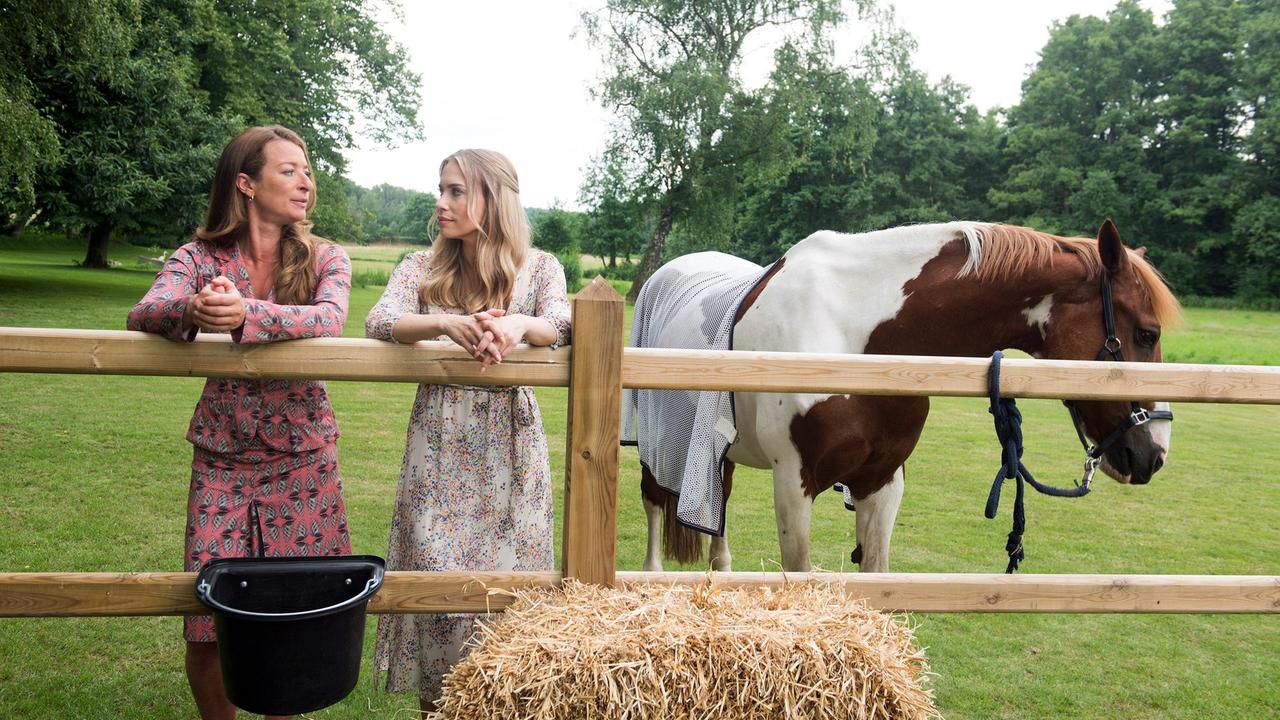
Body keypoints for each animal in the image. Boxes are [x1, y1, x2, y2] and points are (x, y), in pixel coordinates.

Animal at [637, 219, 1177, 571]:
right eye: (1146, 333)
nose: (1154, 454)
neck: (861, 338)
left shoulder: (881, 480)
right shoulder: (794, 483)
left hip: (714, 450)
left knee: (718, 502)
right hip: (652, 443)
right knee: (655, 505)